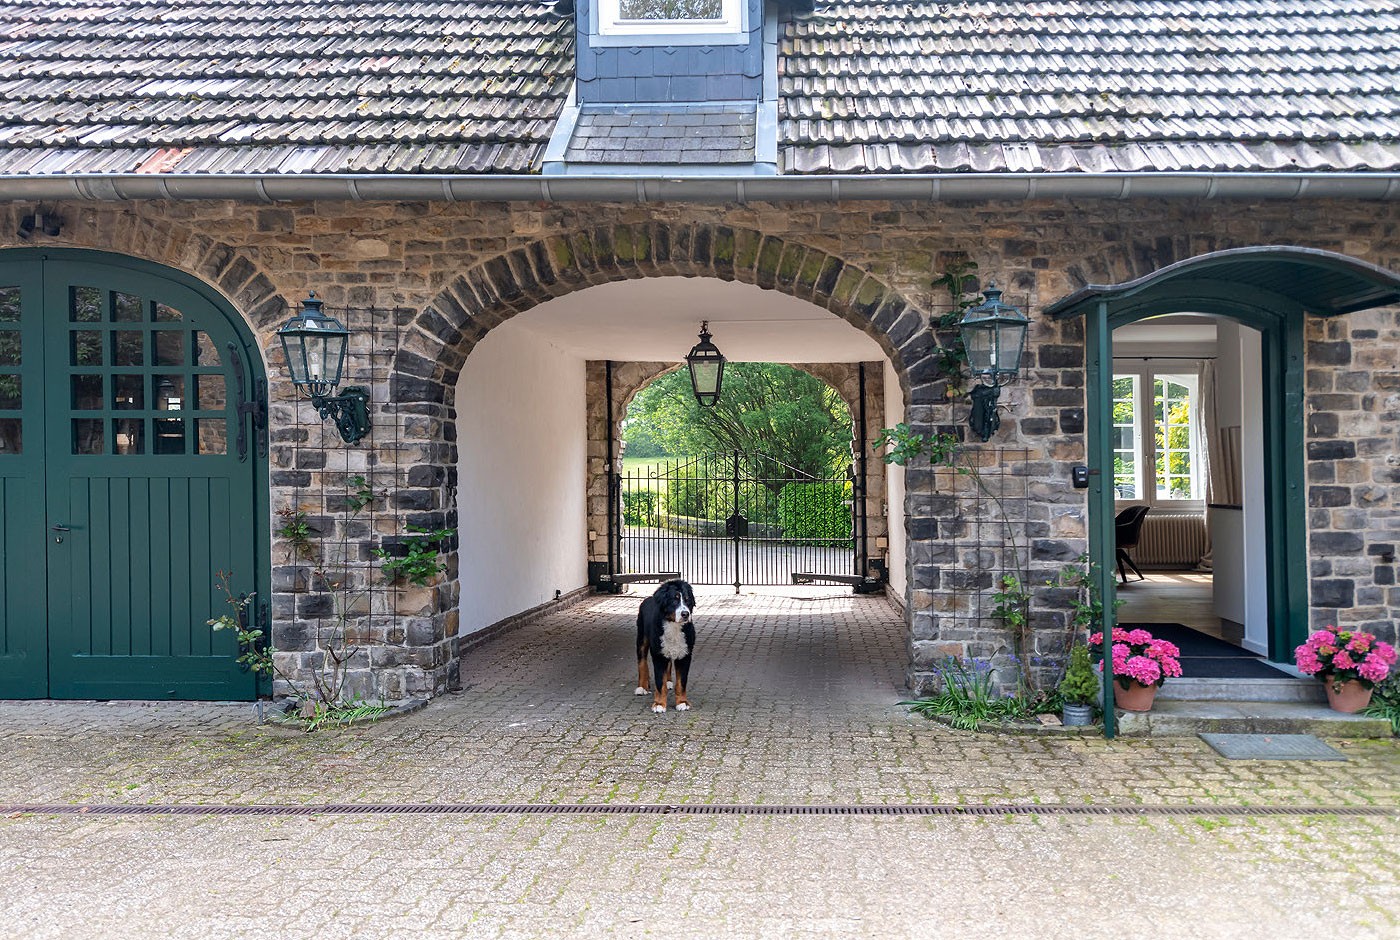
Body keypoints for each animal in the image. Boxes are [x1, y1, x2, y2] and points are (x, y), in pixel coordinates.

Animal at [634, 579, 696, 713]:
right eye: (674, 600)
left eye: (687, 600)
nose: (685, 614)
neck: (674, 626)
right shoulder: (658, 655)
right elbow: (659, 682)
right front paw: (659, 704)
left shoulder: (685, 655)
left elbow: (681, 682)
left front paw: (682, 702)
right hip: (641, 639)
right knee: (642, 663)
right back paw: (642, 687)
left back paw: (668, 682)